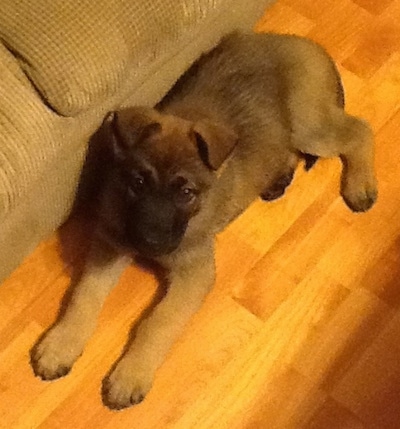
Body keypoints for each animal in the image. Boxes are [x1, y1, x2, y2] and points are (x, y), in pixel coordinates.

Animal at [29, 30, 376, 408]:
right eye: (138, 182)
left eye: (186, 192)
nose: (149, 243)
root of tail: (301, 42)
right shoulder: (109, 245)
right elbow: (84, 295)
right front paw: (61, 343)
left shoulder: (194, 273)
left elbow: (159, 322)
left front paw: (131, 373)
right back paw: (278, 178)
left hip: (308, 125)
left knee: (360, 130)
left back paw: (360, 185)